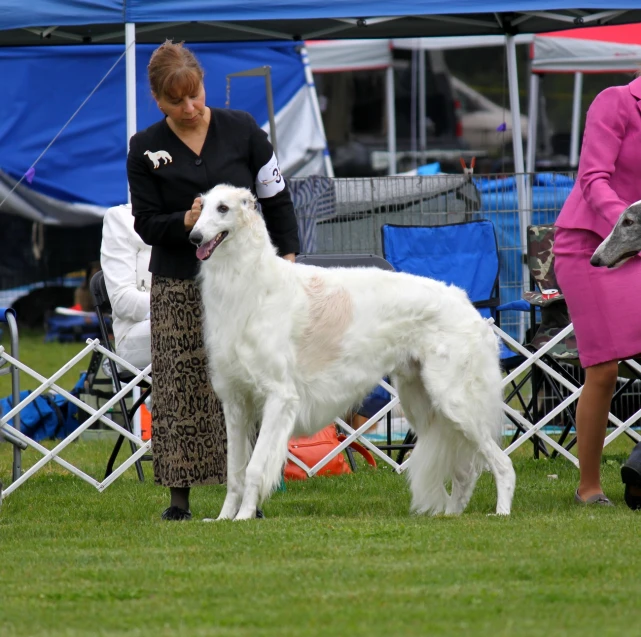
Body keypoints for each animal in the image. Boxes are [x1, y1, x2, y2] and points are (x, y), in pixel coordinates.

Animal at [190, 183, 516, 516]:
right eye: (200, 207)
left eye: (223, 208)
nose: (194, 237)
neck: (252, 285)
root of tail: (466, 303)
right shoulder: (235, 400)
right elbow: (235, 473)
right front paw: (224, 518)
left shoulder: (279, 397)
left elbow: (254, 469)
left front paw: (243, 517)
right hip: (424, 403)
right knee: (466, 473)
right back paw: (452, 515)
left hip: (454, 401)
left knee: (503, 464)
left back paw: (501, 512)